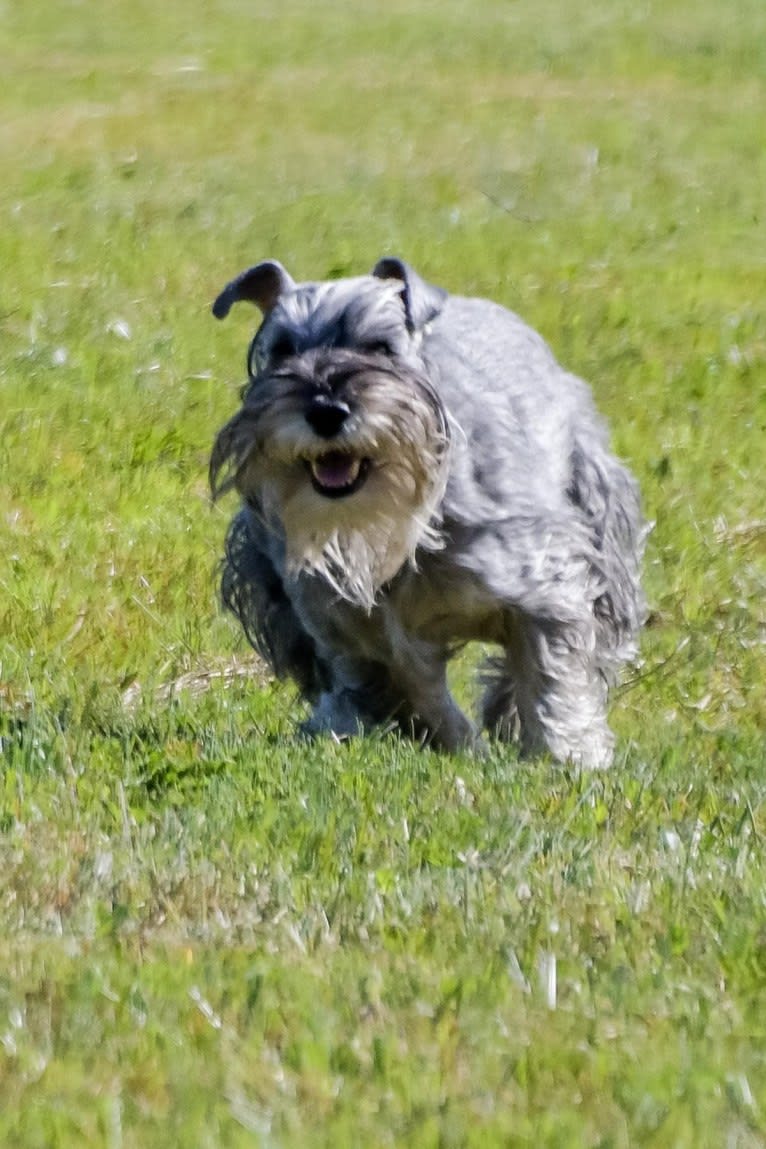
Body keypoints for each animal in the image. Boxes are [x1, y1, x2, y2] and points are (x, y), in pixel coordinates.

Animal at [210, 256, 647, 767]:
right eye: (281, 351)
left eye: (381, 346)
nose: (326, 409)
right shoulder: (351, 631)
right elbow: (408, 689)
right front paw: (454, 744)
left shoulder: (545, 590)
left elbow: (551, 676)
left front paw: (566, 755)